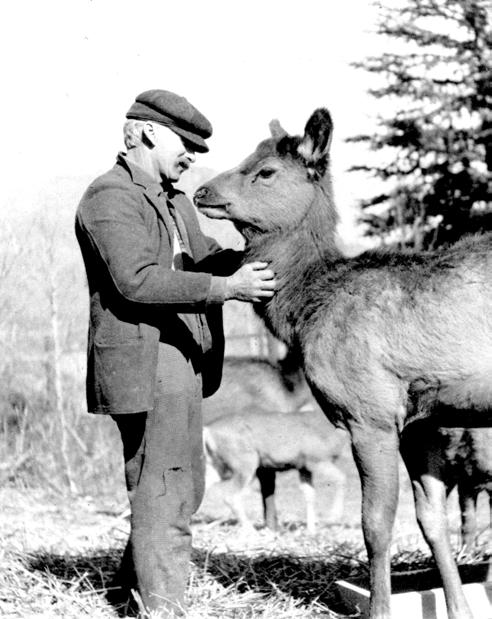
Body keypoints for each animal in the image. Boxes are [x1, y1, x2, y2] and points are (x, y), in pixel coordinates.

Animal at [203, 407, 348, 534]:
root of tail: (208, 430)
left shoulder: (304, 467)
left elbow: (310, 494)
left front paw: (311, 530)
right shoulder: (316, 459)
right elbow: (340, 477)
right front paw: (333, 517)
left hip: (219, 464)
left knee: (206, 483)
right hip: (245, 461)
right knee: (231, 496)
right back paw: (251, 531)